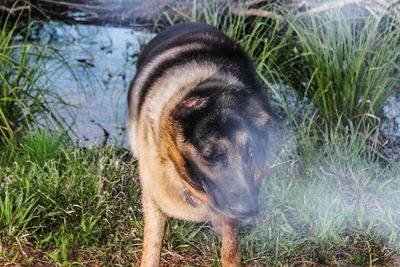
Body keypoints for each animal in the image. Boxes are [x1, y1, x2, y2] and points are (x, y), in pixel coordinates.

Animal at [128, 22, 272, 266]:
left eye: (251, 153)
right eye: (209, 156)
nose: (249, 211)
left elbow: (230, 247)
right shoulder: (153, 194)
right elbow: (153, 244)